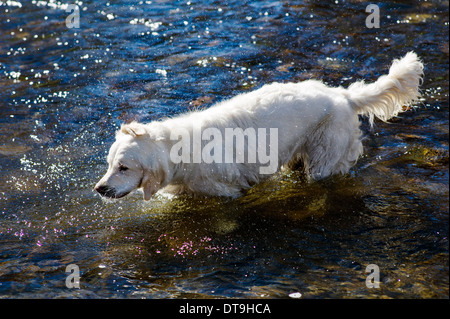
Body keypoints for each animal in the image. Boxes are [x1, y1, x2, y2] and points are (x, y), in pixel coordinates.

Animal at [94, 52, 422, 201]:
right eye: (109, 164)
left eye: (124, 167)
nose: (98, 188)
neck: (177, 152)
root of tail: (344, 96)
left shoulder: (227, 191)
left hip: (323, 159)